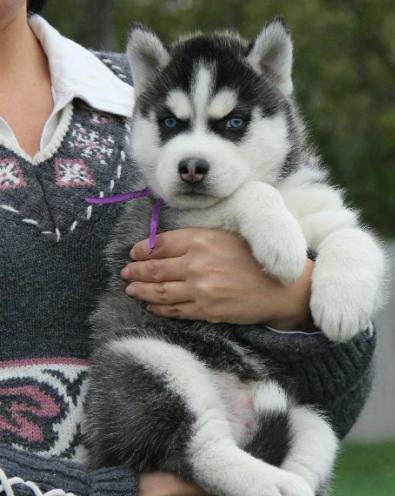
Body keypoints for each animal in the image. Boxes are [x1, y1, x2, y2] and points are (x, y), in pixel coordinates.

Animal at [86, 18, 384, 496]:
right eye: (170, 122)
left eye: (235, 122)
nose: (191, 167)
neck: (282, 190)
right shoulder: (167, 221)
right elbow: (245, 192)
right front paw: (281, 241)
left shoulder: (327, 213)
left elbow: (354, 241)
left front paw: (342, 305)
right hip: (148, 360)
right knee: (195, 449)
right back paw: (267, 481)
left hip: (311, 420)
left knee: (303, 451)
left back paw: (290, 481)